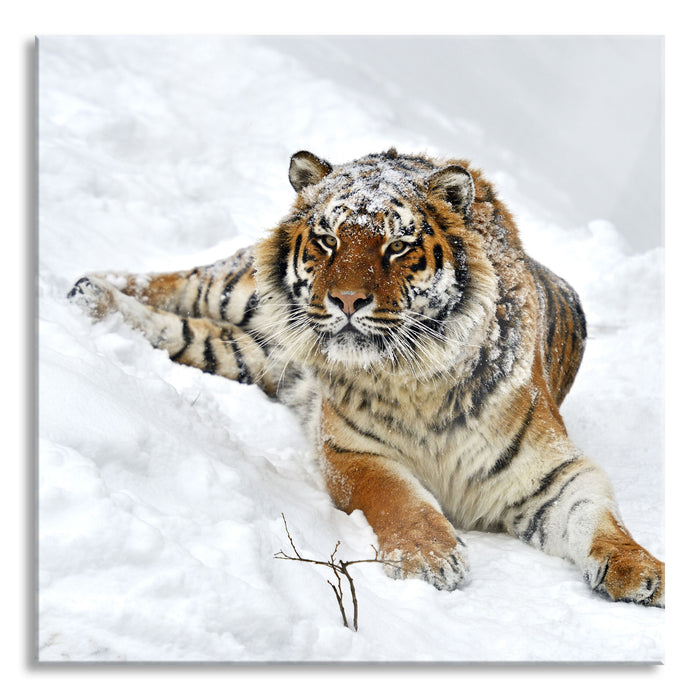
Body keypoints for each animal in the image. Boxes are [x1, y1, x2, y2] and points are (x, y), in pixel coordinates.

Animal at [68, 148, 665, 606]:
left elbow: (599, 518)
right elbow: (397, 497)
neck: (419, 379)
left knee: (183, 330)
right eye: (329, 240)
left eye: (397, 246)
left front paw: (642, 572)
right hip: (238, 290)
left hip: (248, 354)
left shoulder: (554, 471)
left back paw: (95, 301)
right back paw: (82, 287)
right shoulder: (351, 451)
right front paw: (430, 558)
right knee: (175, 281)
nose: (347, 300)